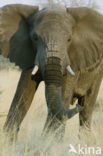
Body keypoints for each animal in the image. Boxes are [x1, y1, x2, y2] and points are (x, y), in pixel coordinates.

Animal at [0, 3, 103, 140]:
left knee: (87, 107)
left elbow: (63, 94)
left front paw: (49, 141)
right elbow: (23, 93)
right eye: (35, 38)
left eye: (69, 39)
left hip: (98, 72)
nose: (77, 107)